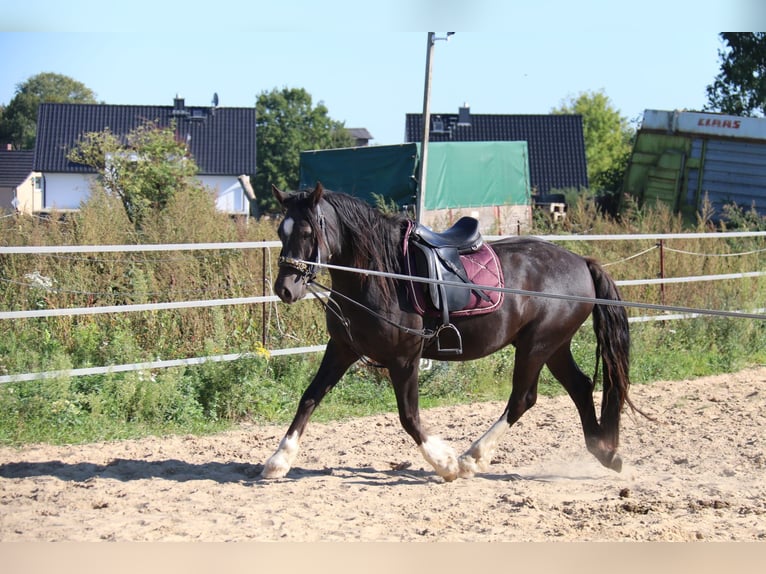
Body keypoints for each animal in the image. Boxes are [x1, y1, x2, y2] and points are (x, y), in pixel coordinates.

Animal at [262, 182, 636, 482]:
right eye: (281, 231)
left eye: (308, 232)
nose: (285, 289)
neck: (381, 277)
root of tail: (582, 262)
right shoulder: (342, 348)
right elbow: (310, 397)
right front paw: (279, 459)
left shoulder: (403, 359)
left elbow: (409, 416)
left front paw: (445, 464)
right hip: (553, 346)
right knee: (580, 387)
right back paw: (606, 453)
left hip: (537, 345)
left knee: (522, 399)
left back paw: (471, 459)